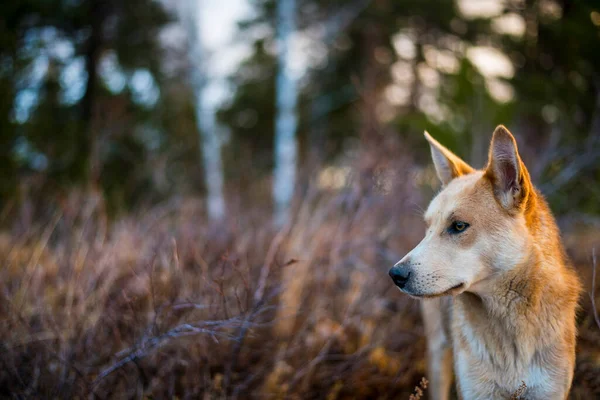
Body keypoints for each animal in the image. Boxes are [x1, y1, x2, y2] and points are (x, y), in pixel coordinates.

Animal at [390, 126, 580, 398]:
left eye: (459, 226)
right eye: (427, 227)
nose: (395, 274)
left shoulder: (549, 390)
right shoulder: (476, 390)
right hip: (438, 355)